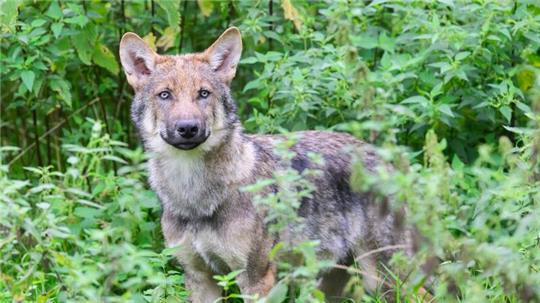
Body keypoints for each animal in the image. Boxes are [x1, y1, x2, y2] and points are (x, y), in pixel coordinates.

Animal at [118, 27, 414, 302]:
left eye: (203, 93)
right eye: (165, 95)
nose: (188, 128)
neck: (195, 197)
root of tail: (387, 159)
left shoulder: (256, 278)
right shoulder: (199, 278)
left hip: (381, 279)